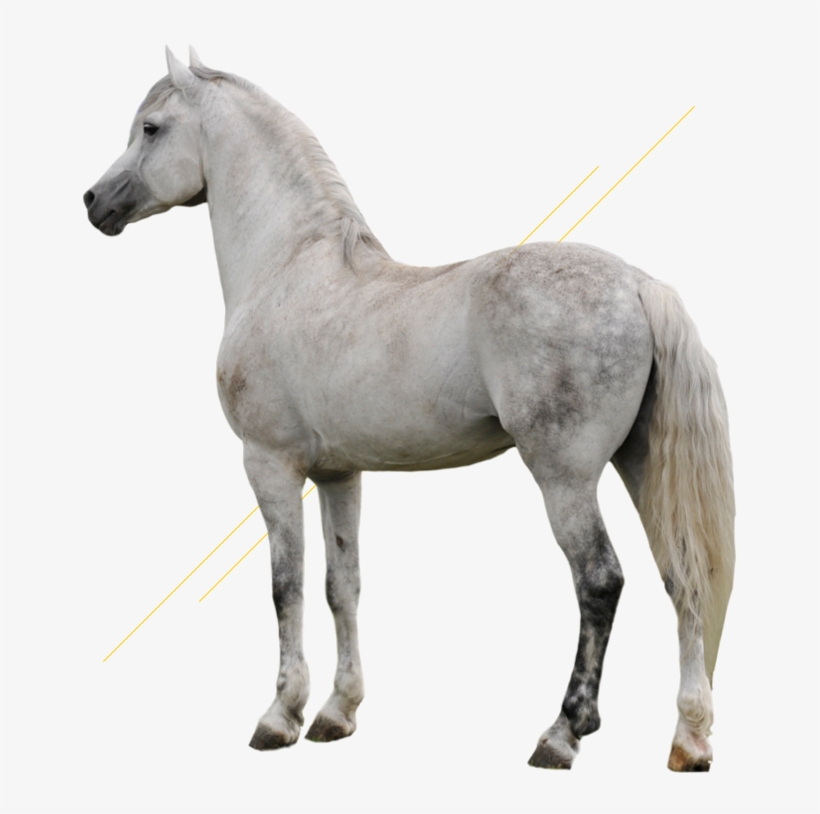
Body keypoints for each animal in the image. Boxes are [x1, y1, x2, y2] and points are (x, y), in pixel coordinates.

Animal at [84, 47, 734, 771]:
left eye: (151, 128)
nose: (94, 202)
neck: (288, 270)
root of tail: (638, 284)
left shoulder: (269, 466)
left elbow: (287, 585)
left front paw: (280, 716)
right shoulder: (338, 474)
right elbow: (342, 586)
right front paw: (336, 714)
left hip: (565, 477)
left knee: (600, 581)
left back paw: (563, 732)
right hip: (640, 464)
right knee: (683, 578)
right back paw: (689, 739)